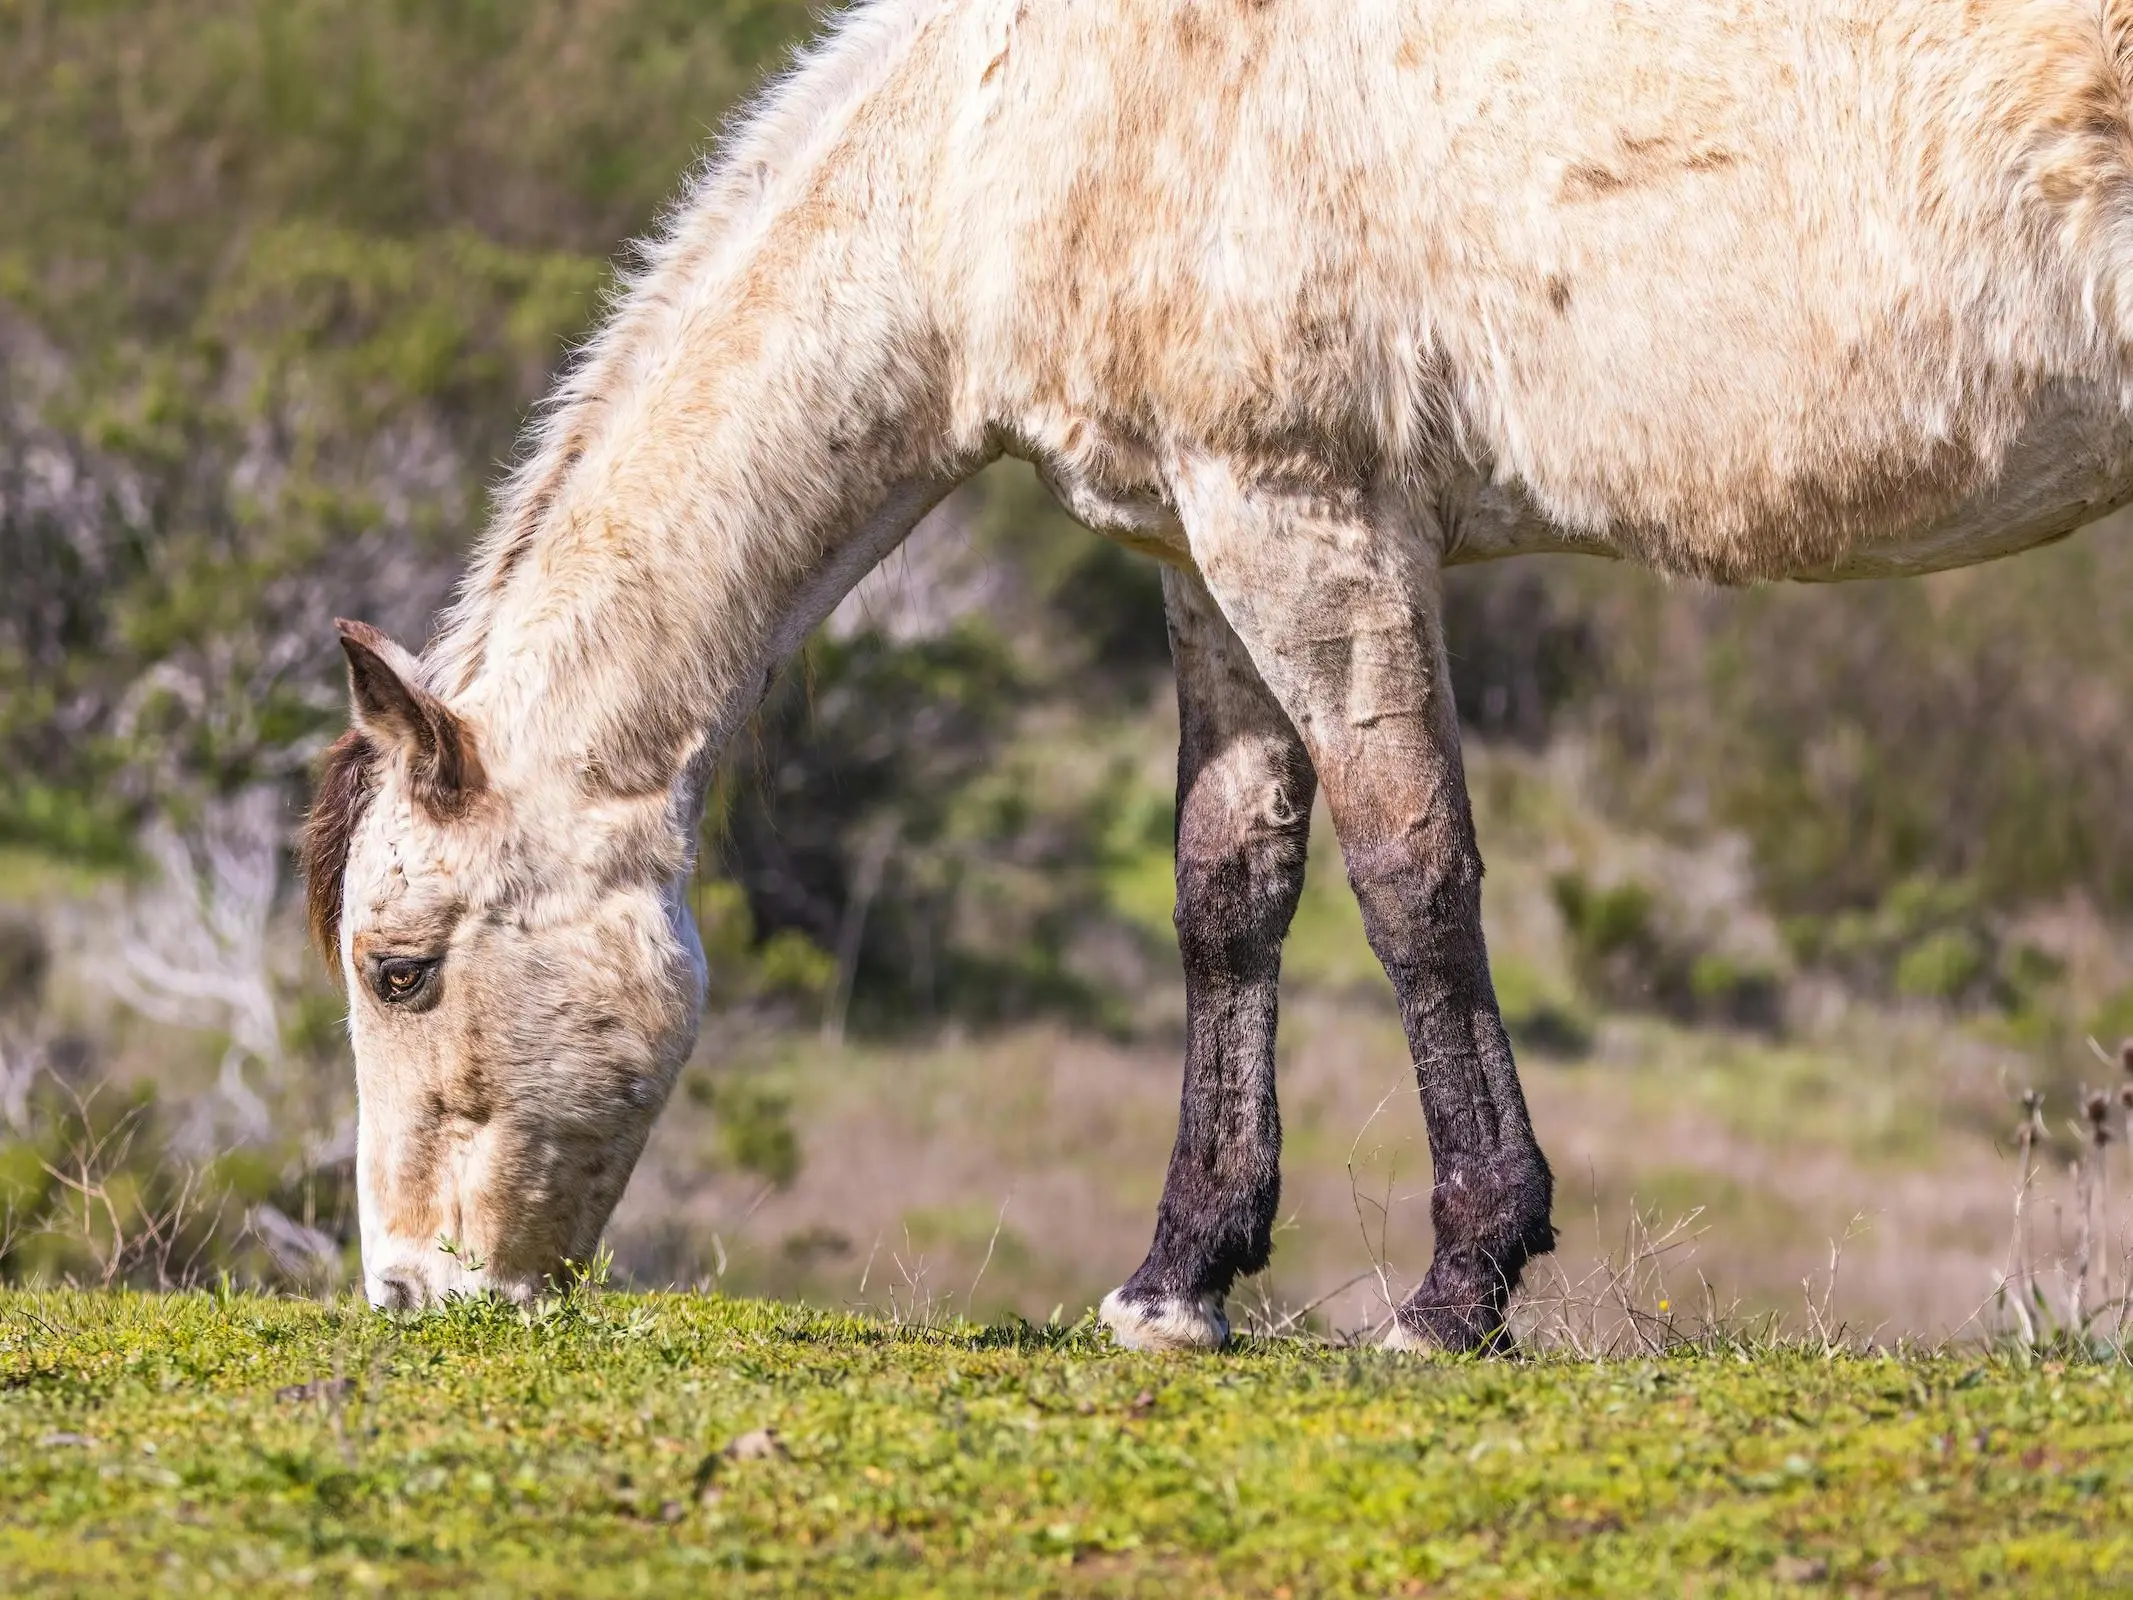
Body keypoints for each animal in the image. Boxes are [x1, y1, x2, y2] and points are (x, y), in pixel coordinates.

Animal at [309, 0, 2133, 1356]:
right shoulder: (1200, 545)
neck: (1012, 132)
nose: (410, 1290)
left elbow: (1409, 875)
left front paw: (1457, 1291)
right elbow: (1227, 889)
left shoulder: (1304, 516)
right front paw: (1179, 1278)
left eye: (399, 970)